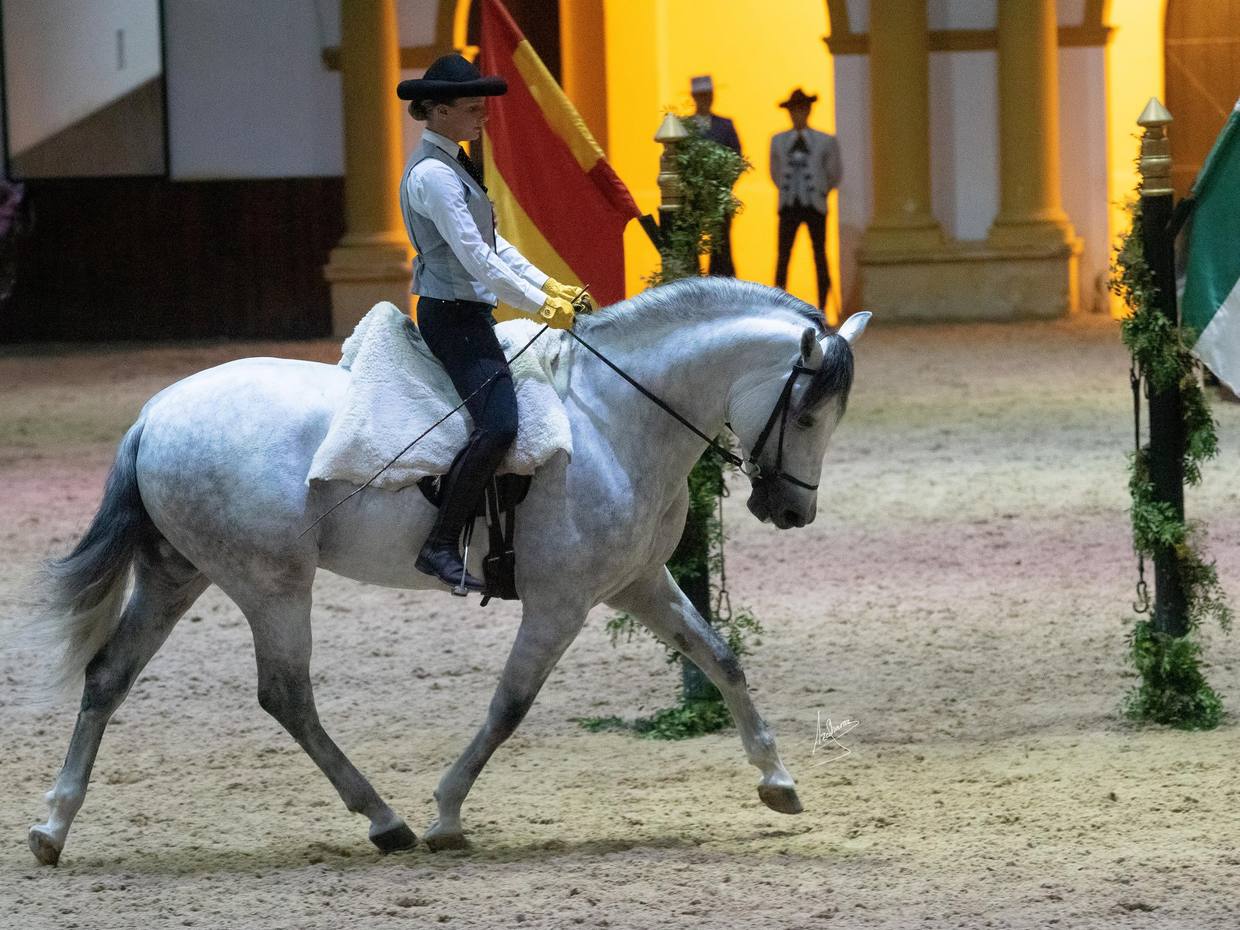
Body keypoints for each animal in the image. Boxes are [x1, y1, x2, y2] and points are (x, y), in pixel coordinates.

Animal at [24, 277, 869, 865]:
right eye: (805, 414)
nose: (792, 512)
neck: (611, 418)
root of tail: (154, 414)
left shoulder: (637, 584)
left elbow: (722, 658)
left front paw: (777, 782)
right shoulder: (560, 604)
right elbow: (509, 706)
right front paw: (447, 814)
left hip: (178, 576)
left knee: (108, 677)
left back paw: (52, 827)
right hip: (273, 585)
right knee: (285, 696)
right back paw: (387, 820)